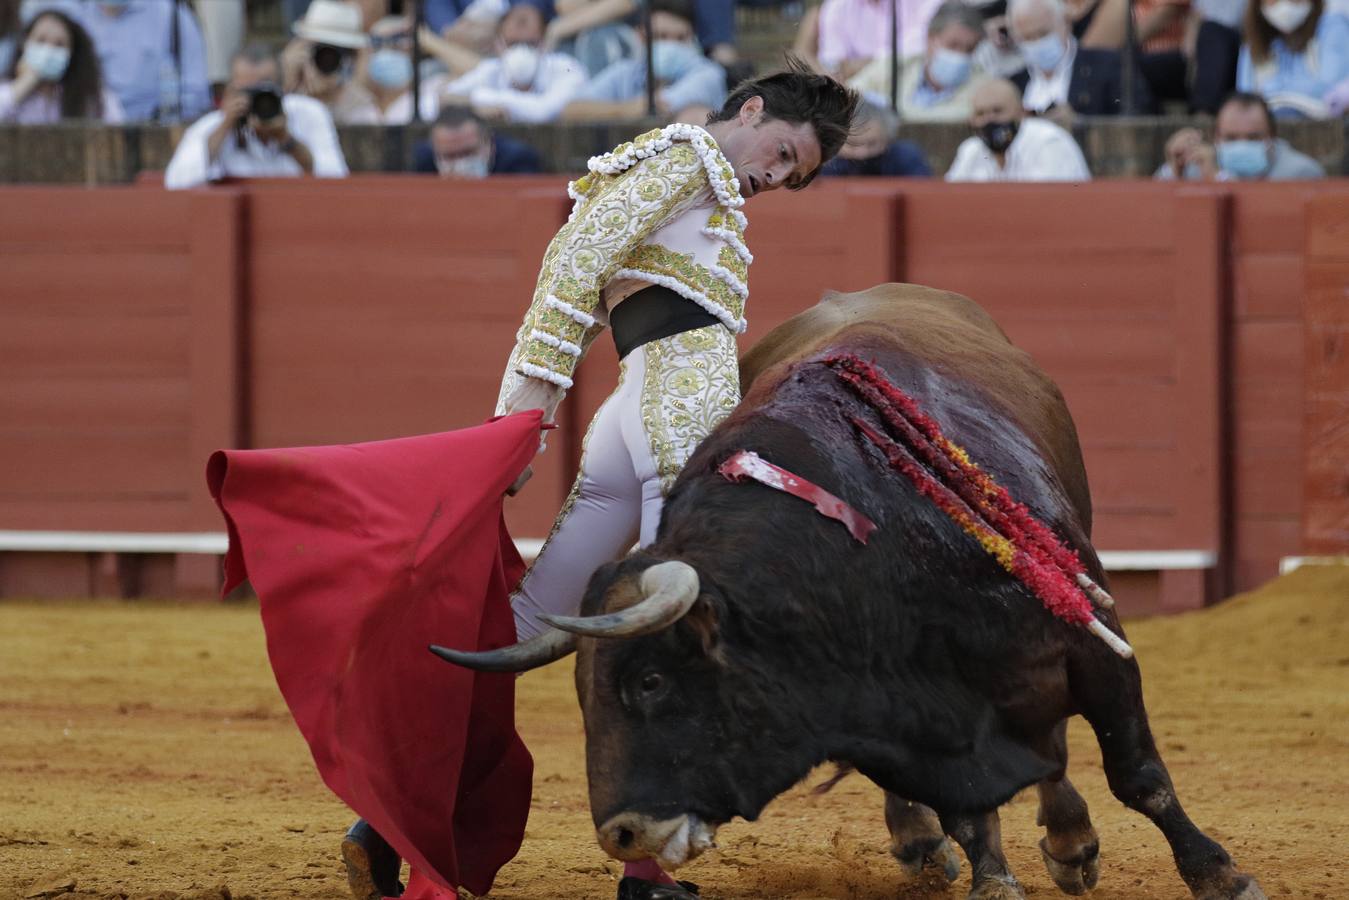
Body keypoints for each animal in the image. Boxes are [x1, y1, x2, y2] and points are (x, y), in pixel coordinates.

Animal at [439, 283, 1262, 900]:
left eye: (649, 681)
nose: (622, 835)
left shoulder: (1092, 637)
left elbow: (1138, 774)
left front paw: (1219, 875)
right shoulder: (888, 712)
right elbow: (969, 806)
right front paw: (991, 878)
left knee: (1059, 747)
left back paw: (1069, 841)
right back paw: (949, 844)